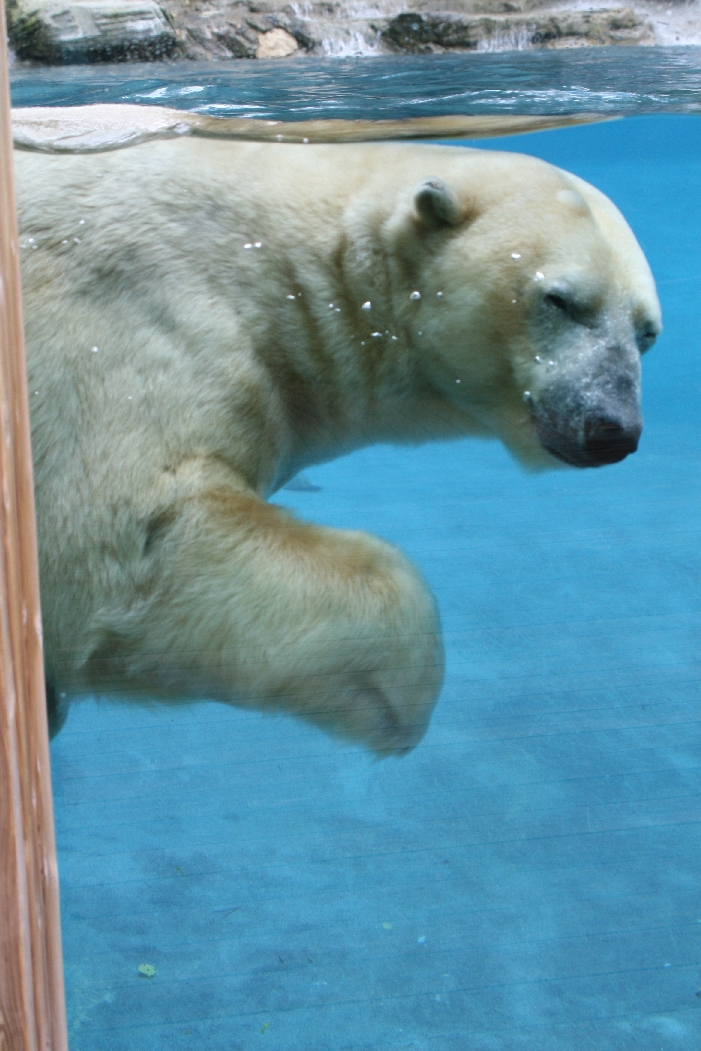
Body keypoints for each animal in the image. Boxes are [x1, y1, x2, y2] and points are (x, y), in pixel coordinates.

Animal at [13, 135, 661, 751]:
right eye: (560, 300)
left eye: (646, 332)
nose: (612, 428)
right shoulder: (131, 321)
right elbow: (121, 544)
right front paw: (398, 695)